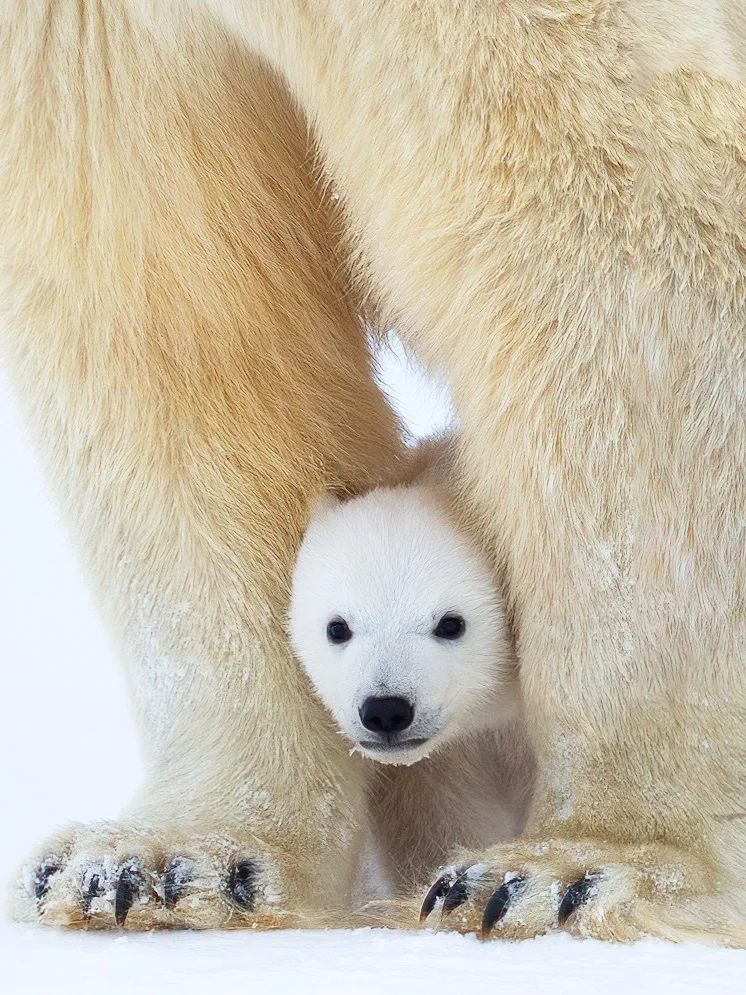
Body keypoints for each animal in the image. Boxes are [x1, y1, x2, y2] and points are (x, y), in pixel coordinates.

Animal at [1, 0, 744, 944]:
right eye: (335, 626)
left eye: (453, 622)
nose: (386, 710)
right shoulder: (73, 45)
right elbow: (160, 289)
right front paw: (161, 864)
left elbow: (609, 226)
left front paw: (573, 867)